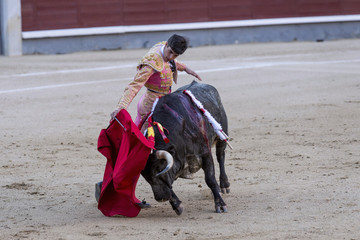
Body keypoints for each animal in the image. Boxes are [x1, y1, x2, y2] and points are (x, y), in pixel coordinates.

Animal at [141, 81, 231, 216]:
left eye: (159, 169)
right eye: (145, 176)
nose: (160, 198)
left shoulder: (205, 153)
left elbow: (210, 179)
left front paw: (220, 204)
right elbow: (169, 187)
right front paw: (177, 206)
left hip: (221, 135)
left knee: (220, 157)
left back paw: (224, 185)